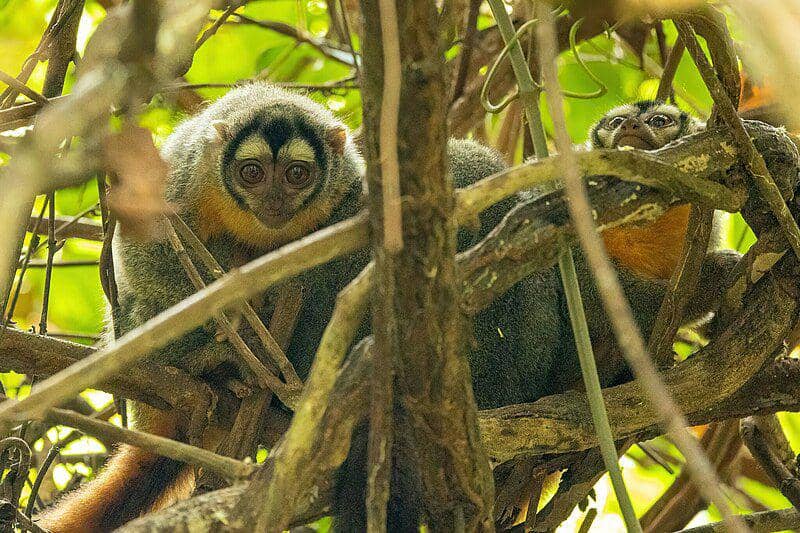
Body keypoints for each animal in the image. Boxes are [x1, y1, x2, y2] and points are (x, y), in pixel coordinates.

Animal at [36, 82, 509, 533]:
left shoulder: (344, 186)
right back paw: (213, 364)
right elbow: (146, 245)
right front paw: (229, 338)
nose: (275, 201)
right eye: (252, 173)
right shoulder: (190, 175)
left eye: (297, 174)